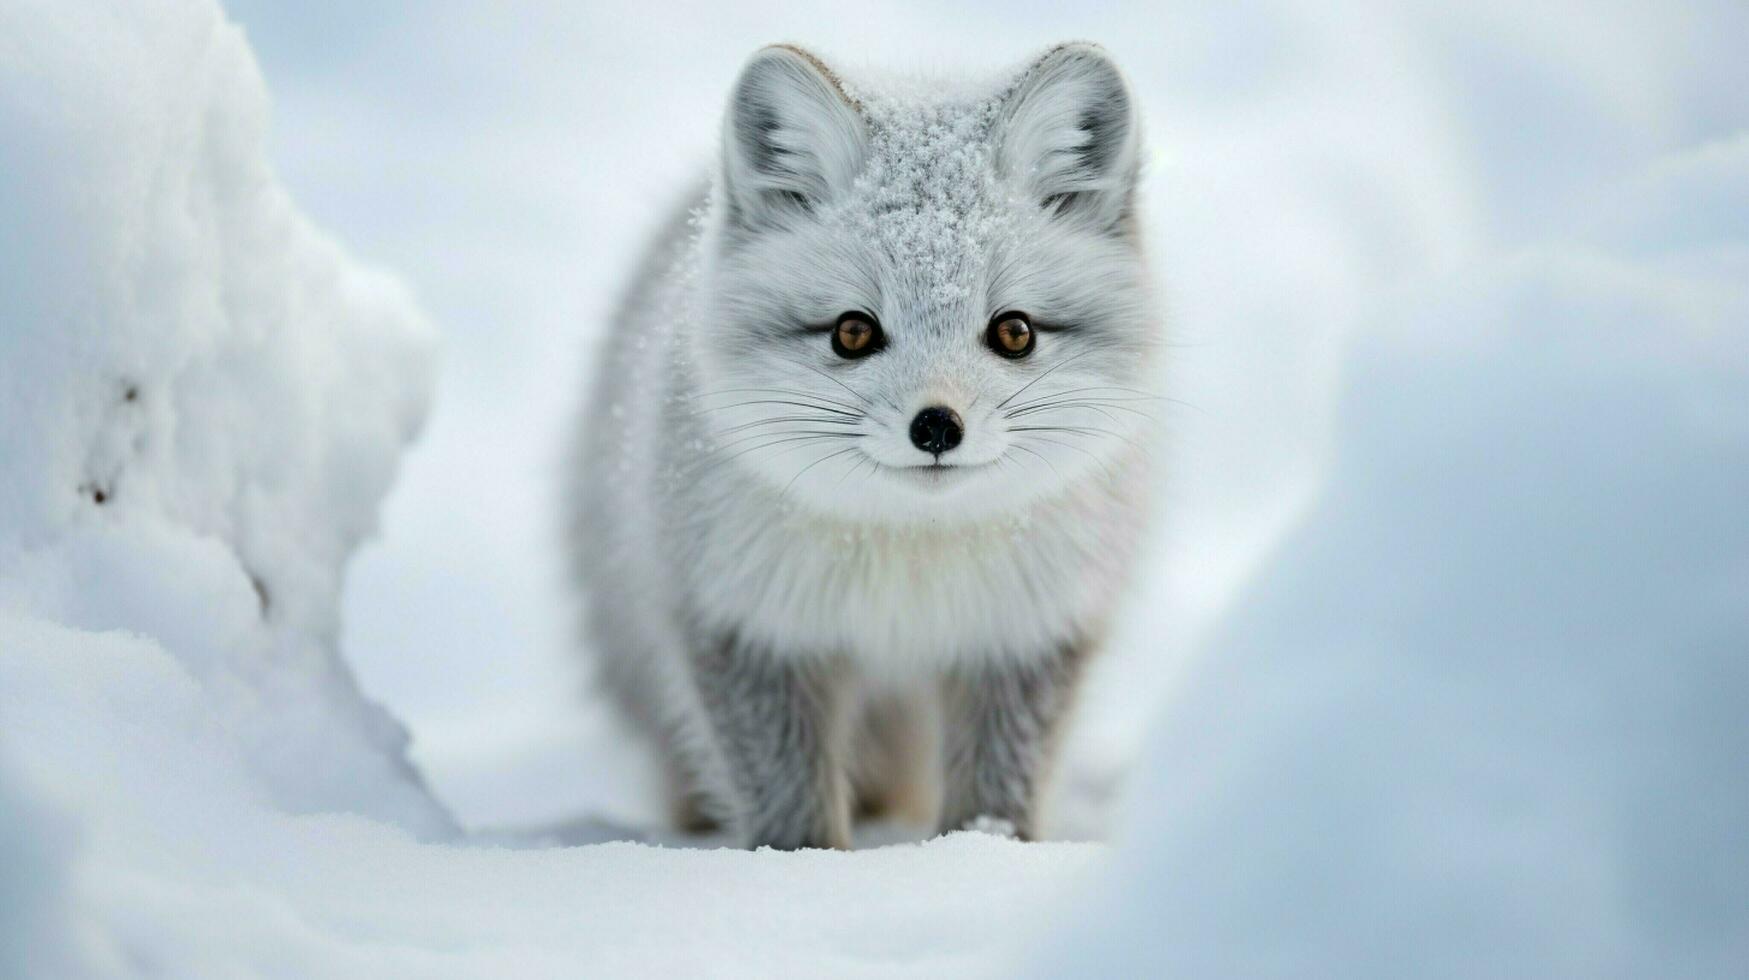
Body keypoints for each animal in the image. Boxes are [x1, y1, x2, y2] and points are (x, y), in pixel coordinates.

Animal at [566, 42, 1154, 847]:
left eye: (1014, 332)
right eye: (852, 332)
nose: (936, 426)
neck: (910, 561)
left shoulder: (1027, 635)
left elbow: (997, 793)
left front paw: (982, 853)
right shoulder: (749, 626)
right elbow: (789, 804)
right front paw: (805, 865)